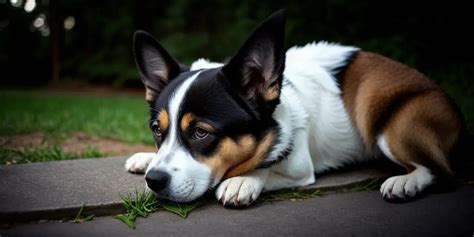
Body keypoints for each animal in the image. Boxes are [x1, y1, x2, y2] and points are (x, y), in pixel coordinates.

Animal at [125, 9, 462, 206]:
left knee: (442, 171)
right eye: (157, 130)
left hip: (386, 119)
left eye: (200, 132)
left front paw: (244, 180)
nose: (154, 181)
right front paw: (145, 157)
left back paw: (407, 181)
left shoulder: (300, 167)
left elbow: (267, 168)